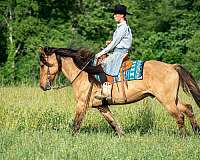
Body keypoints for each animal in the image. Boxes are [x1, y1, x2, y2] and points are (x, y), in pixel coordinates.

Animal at [38, 46, 200, 136]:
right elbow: (113, 123)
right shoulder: (101, 106)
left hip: (166, 101)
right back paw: (196, 131)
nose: (42, 86)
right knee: (188, 108)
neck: (85, 73)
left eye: (43, 64)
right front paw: (123, 136)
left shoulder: (81, 104)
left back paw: (184, 137)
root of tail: (172, 66)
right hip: (173, 99)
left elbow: (76, 123)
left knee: (180, 116)